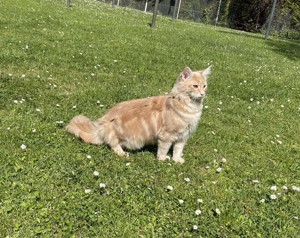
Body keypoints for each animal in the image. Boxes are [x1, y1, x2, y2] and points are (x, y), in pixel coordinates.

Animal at [65, 66, 211, 163]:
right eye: (195, 86)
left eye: (204, 86)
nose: (203, 94)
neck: (189, 107)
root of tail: (103, 123)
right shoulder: (166, 136)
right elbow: (163, 150)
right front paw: (163, 159)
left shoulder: (183, 137)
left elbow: (177, 150)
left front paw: (176, 160)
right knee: (113, 144)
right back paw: (122, 153)